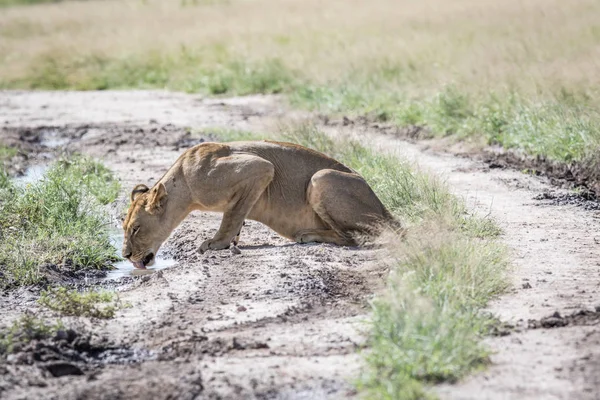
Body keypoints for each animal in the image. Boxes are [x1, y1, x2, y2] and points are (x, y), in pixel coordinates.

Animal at [122, 141, 398, 268]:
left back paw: (308, 235)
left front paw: (217, 243)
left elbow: (231, 215)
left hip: (320, 178)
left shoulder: (259, 168)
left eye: (136, 228)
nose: (125, 255)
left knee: (353, 237)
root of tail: (386, 210)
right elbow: (236, 215)